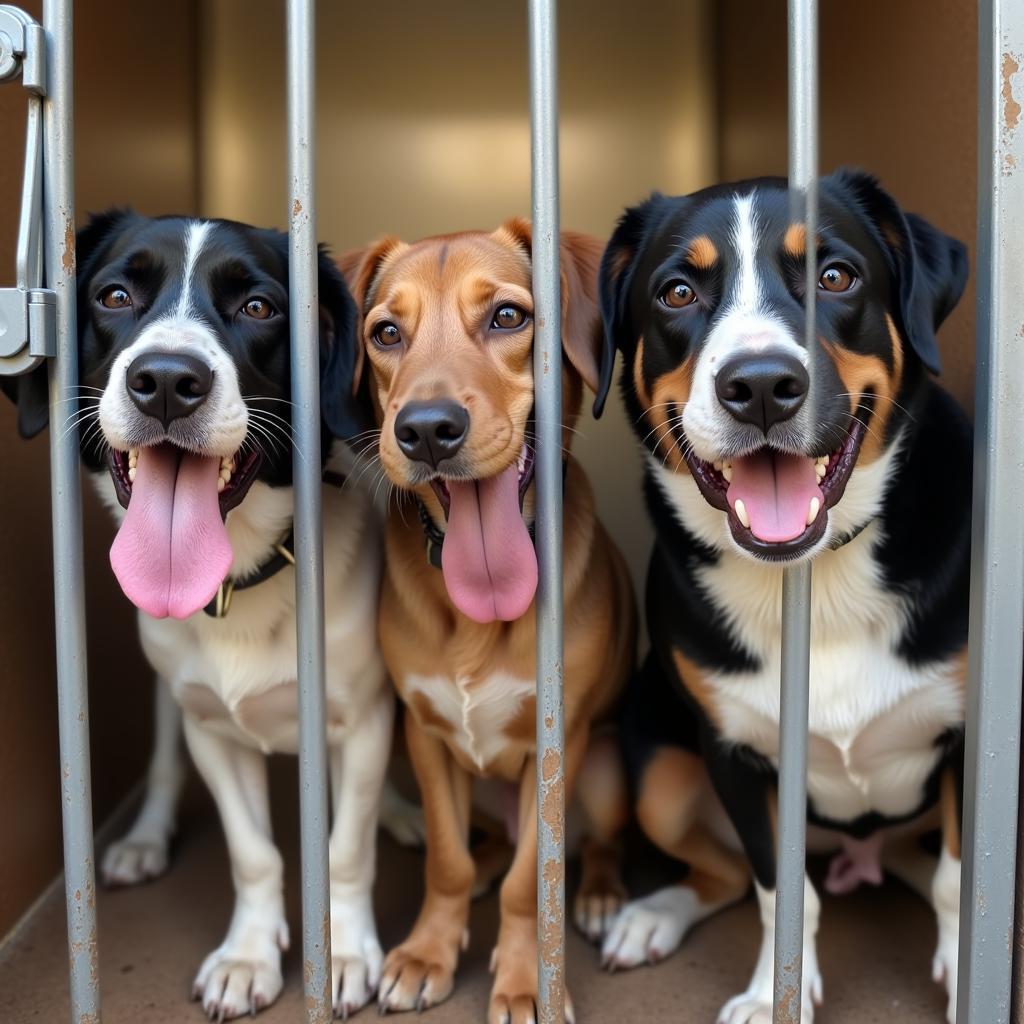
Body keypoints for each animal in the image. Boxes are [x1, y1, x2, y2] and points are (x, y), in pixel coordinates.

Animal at [3, 211, 391, 1019]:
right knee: (160, 764)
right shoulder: (211, 727)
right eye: (114, 295)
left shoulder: (364, 721)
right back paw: (145, 839)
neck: (241, 580)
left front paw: (343, 951)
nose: (166, 383)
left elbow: (344, 848)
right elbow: (253, 852)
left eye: (260, 307)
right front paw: (248, 956)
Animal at [339, 226, 634, 1024]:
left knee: (596, 846)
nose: (426, 431)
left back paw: (601, 894)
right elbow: (447, 858)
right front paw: (427, 952)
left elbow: (531, 879)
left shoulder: (559, 750)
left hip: (604, 771)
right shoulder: (425, 733)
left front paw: (529, 979)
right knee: (482, 853)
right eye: (386, 333)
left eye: (507, 317)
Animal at [593, 172, 966, 1019]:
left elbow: (961, 879)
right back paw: (652, 918)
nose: (760, 386)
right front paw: (774, 994)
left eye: (836, 276)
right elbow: (779, 891)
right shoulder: (733, 752)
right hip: (658, 771)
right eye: (676, 292)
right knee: (725, 874)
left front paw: (970, 970)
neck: (818, 577)